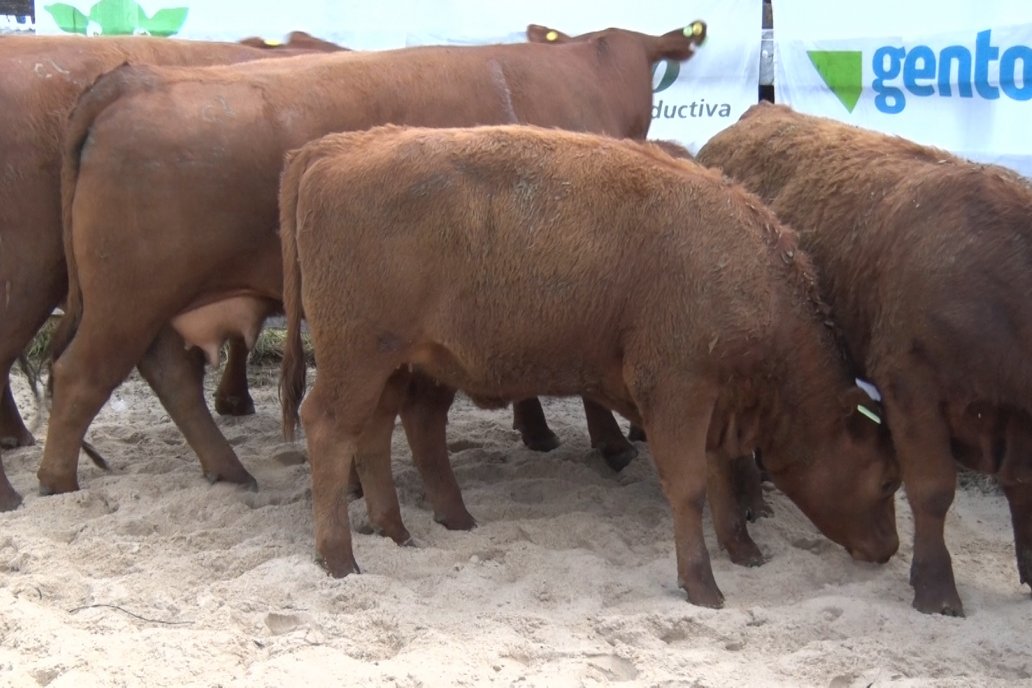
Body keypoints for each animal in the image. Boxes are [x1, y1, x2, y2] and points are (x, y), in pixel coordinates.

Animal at [278, 123, 899, 606]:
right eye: (888, 479)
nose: (889, 549)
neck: (740, 265)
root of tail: (332, 149)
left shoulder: (715, 407)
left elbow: (724, 473)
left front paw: (745, 551)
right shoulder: (678, 393)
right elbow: (690, 487)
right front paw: (703, 586)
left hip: (398, 366)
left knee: (384, 432)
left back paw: (406, 530)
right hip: (358, 361)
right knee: (329, 429)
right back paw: (340, 559)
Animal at [693, 101, 1032, 614]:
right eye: (886, 483)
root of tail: (763, 109)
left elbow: (1022, 487)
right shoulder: (911, 387)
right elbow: (933, 489)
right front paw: (935, 589)